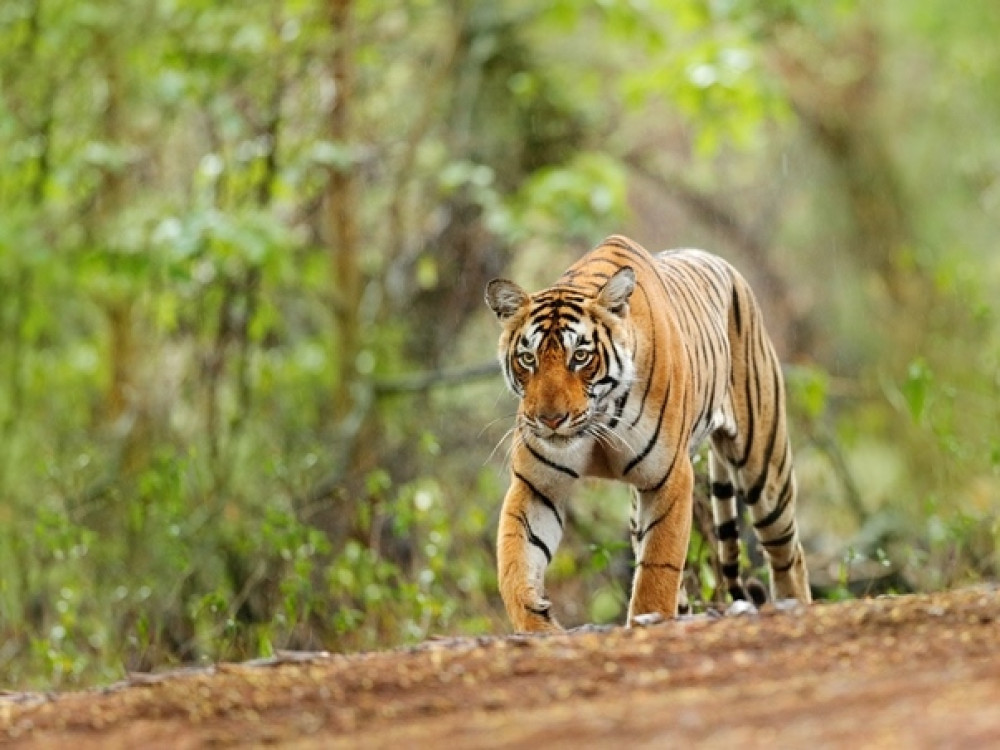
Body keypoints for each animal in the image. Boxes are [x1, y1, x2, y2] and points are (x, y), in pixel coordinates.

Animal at [486, 235, 812, 636]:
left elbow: (658, 570)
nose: (550, 420)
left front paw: (648, 620)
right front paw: (536, 622)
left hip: (764, 470)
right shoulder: (537, 485)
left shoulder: (670, 477)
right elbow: (514, 560)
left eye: (580, 357)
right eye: (528, 359)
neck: (599, 419)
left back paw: (794, 608)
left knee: (788, 555)